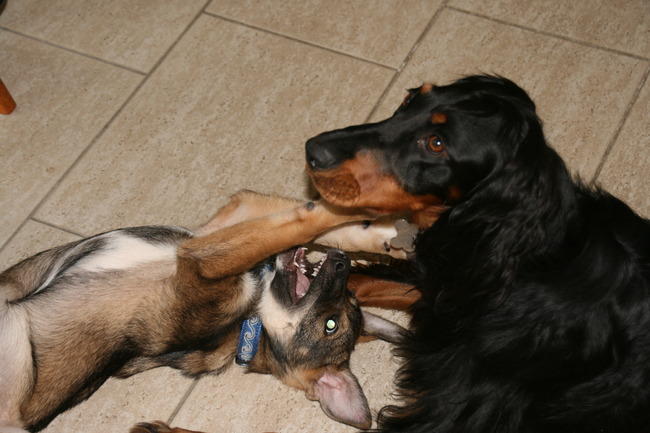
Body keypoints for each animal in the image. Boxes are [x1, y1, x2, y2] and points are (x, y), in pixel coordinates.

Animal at [0, 191, 406, 433]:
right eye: (343, 306)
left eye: (330, 325)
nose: (342, 265)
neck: (247, 324)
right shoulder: (216, 230)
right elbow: (312, 227)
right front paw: (381, 229)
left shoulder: (201, 258)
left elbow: (297, 225)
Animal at [305, 75, 650, 432]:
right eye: (410, 100)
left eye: (436, 144)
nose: (313, 151)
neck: (542, 259)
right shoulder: (451, 289)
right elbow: (354, 283)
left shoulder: (462, 403)